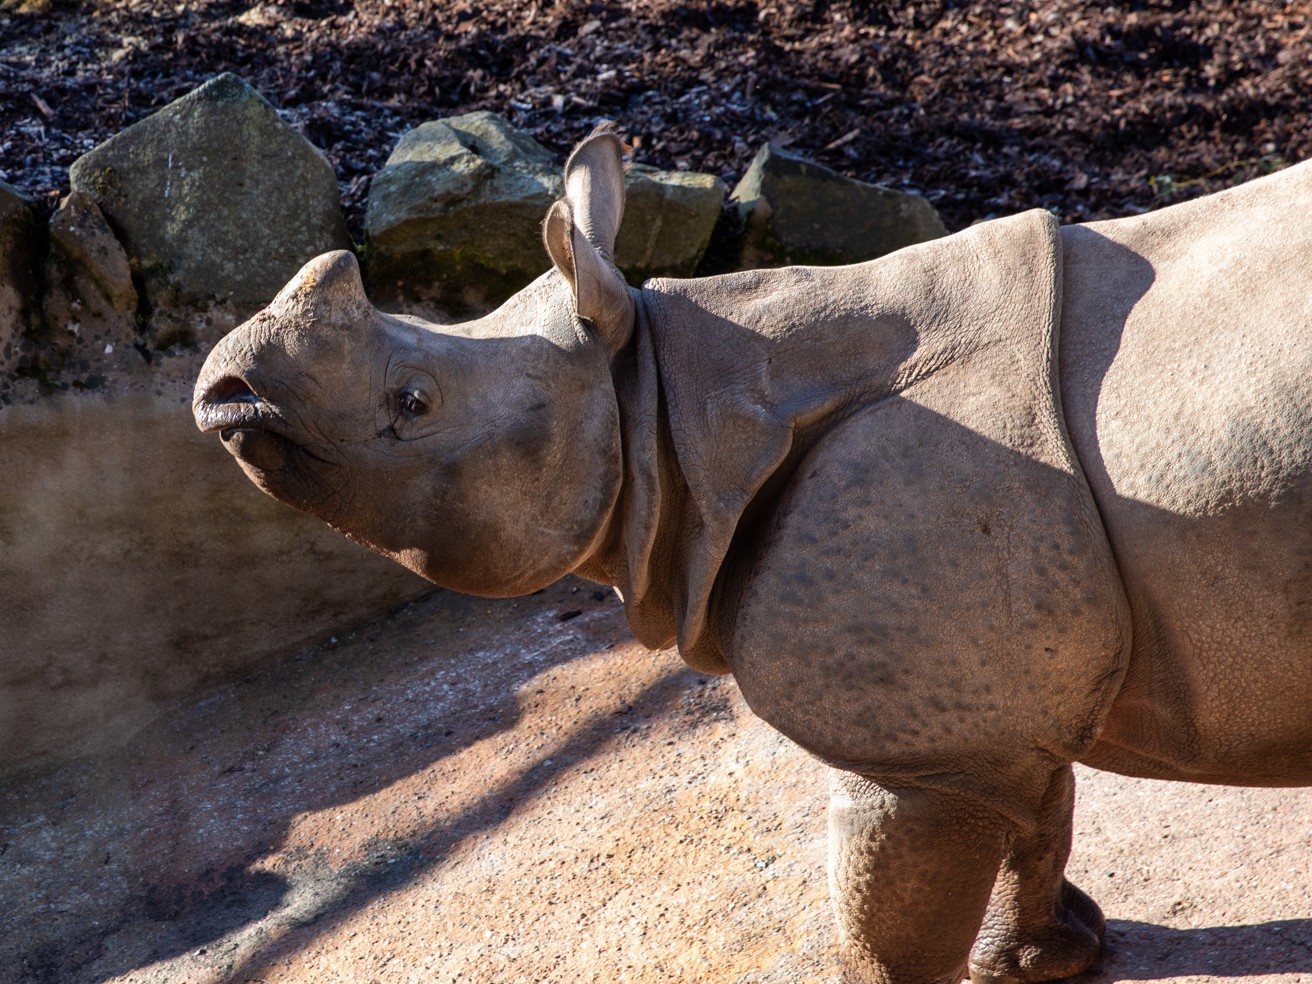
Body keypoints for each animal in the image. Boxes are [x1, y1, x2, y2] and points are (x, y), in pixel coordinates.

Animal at [193, 127, 1312, 984]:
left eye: (413, 403)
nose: (221, 392)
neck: (670, 403)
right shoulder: (982, 719)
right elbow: (1037, 821)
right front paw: (1044, 962)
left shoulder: (920, 755)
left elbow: (888, 931)